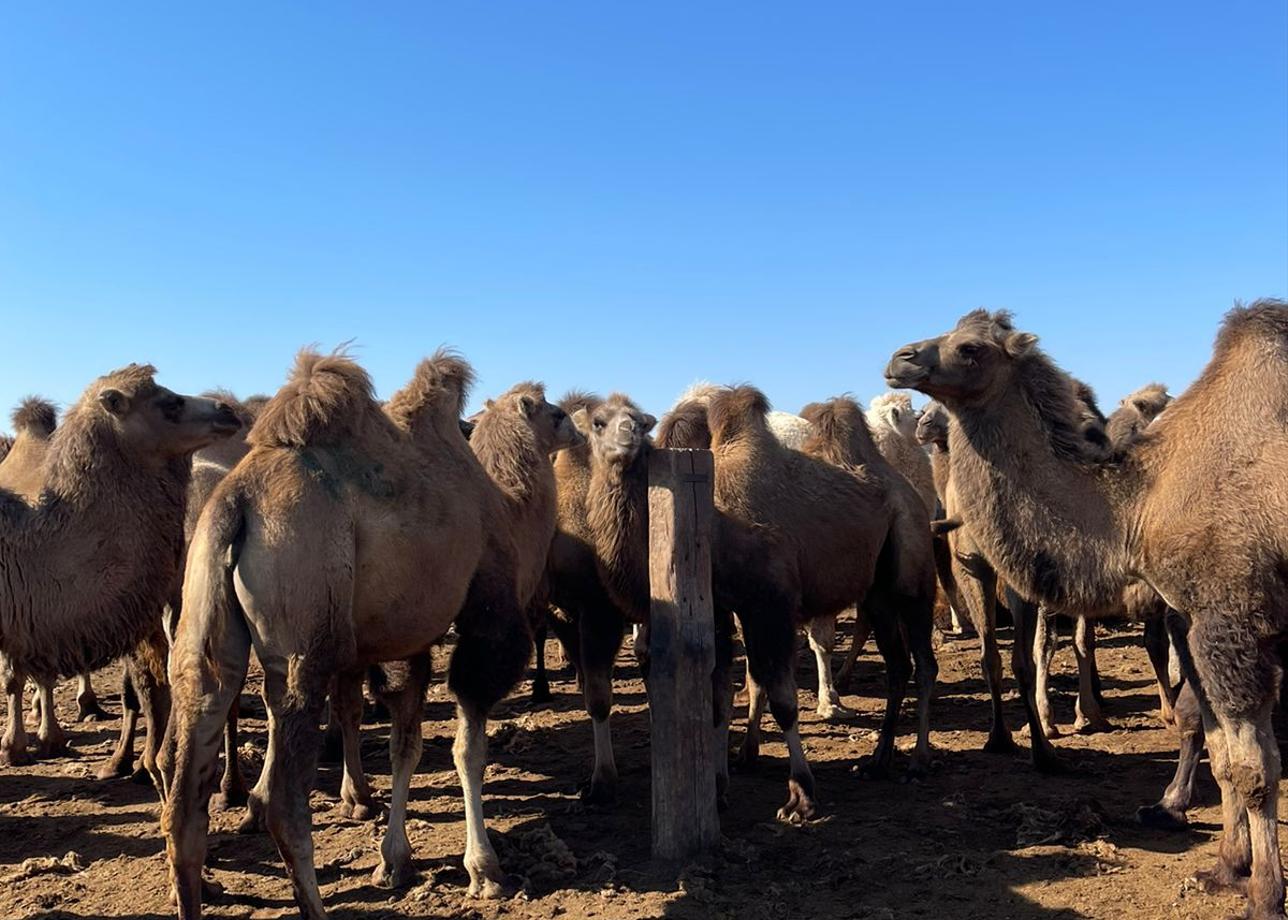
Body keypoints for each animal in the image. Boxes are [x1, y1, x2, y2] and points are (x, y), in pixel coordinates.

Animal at [164, 347, 574, 912]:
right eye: (555, 412)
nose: (575, 429)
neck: (508, 510)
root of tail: (236, 502)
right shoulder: (483, 623)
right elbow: (467, 749)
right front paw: (484, 868)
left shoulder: (410, 639)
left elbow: (407, 743)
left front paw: (394, 860)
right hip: (305, 634)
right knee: (282, 797)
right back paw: (313, 903)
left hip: (204, 614)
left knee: (189, 786)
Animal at [886, 304, 1288, 912]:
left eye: (972, 349)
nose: (899, 359)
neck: (1137, 505)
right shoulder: (1189, 615)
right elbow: (1219, 747)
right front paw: (1223, 869)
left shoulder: (1231, 618)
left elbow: (1253, 767)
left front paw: (1263, 895)